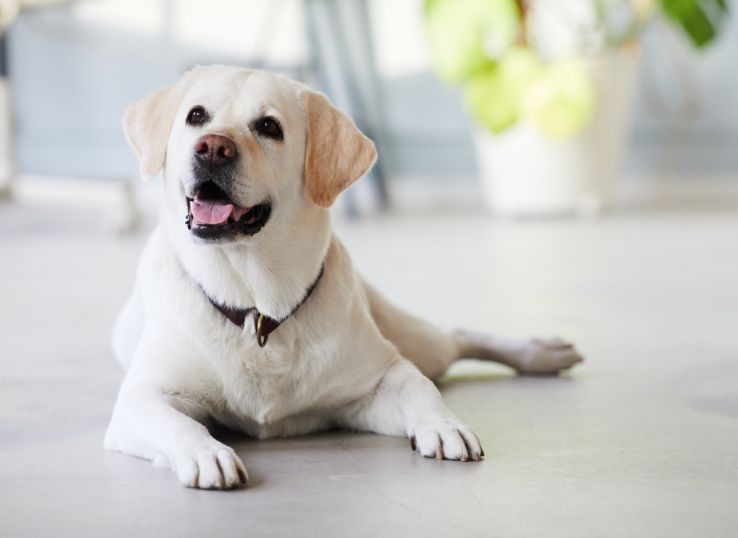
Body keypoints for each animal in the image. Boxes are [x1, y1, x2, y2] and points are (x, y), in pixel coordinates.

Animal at [106, 66, 584, 486]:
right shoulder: (141, 400)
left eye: (269, 126)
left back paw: (543, 352)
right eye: (196, 116)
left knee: (455, 336)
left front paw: (445, 425)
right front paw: (207, 453)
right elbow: (179, 424)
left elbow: (420, 388)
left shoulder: (377, 380)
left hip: (416, 340)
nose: (212, 147)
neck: (258, 306)